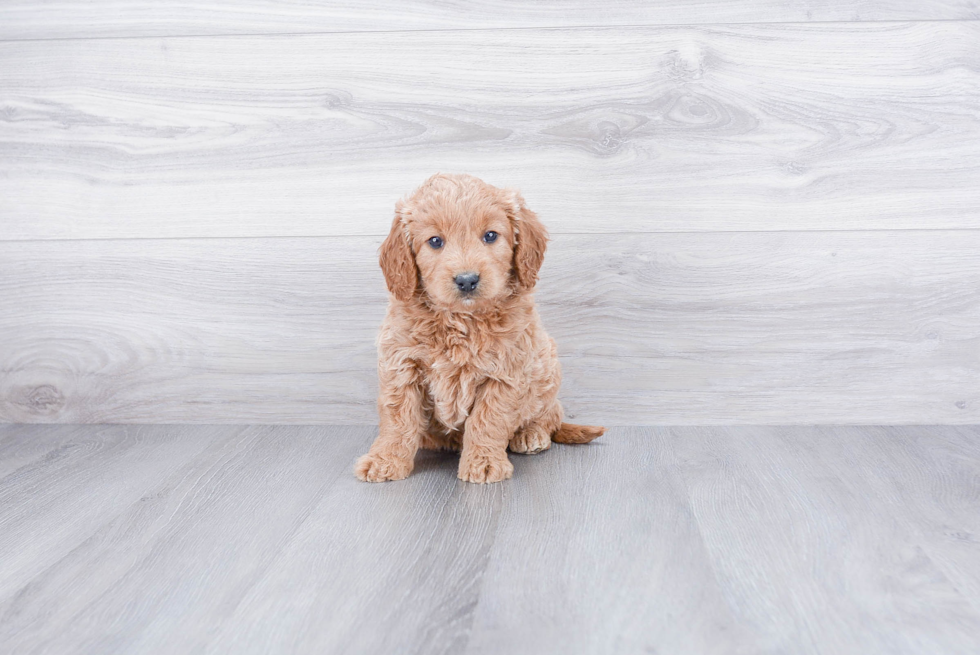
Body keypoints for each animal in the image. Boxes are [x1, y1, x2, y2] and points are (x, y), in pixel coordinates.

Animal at [358, 172, 604, 484]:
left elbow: (488, 419)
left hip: (547, 366)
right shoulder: (401, 365)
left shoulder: (506, 371)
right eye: (435, 241)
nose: (467, 280)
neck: (461, 319)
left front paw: (484, 462)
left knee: (550, 414)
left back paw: (531, 434)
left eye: (490, 236)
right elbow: (398, 418)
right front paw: (385, 460)